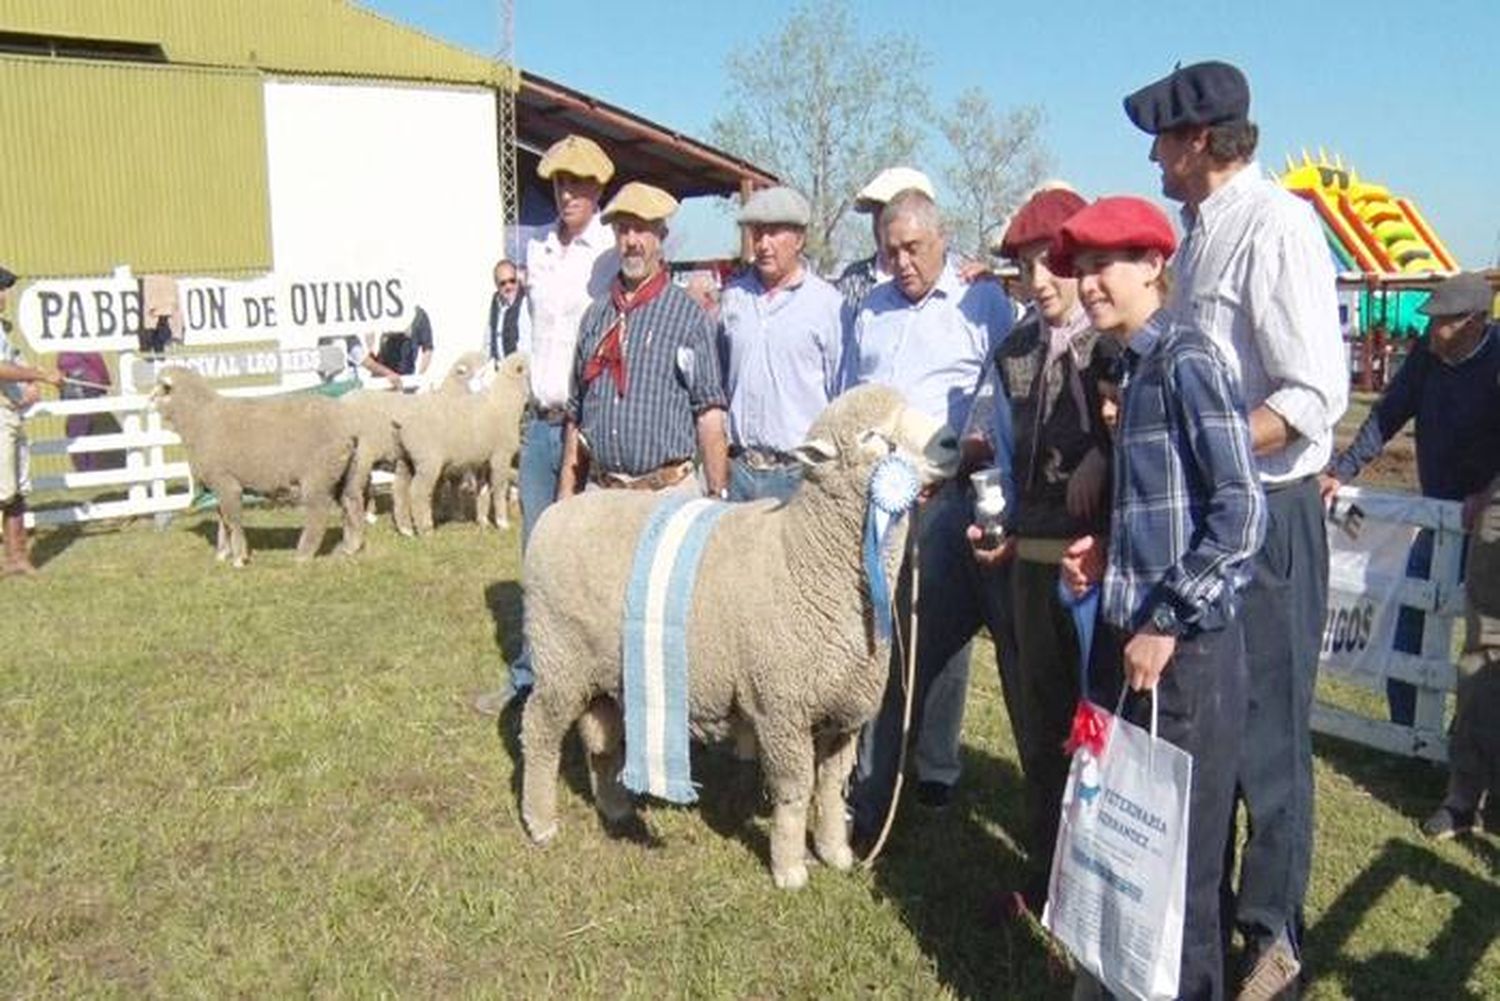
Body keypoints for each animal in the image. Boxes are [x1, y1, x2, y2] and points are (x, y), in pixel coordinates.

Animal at [152, 367, 360, 567]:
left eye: (162, 388)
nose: (149, 400)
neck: (200, 418)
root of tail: (346, 427)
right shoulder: (218, 488)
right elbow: (222, 521)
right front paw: (222, 553)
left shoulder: (227, 483)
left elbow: (233, 521)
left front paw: (239, 558)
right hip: (344, 474)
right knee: (351, 504)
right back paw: (351, 547)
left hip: (318, 476)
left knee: (318, 513)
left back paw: (303, 555)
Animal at [390, 354, 531, 540]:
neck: (504, 401)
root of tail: (402, 422)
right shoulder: (501, 455)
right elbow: (499, 488)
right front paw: (502, 523)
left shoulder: (483, 460)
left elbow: (483, 489)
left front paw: (482, 520)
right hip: (427, 460)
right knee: (418, 491)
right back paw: (425, 529)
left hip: (405, 458)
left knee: (399, 489)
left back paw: (405, 529)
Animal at [522, 387, 954, 888]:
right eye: (871, 437)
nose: (953, 440)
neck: (804, 557)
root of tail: (554, 514)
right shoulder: (782, 707)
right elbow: (795, 790)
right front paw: (789, 868)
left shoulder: (844, 711)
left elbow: (830, 786)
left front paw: (836, 853)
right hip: (558, 658)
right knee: (539, 730)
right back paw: (540, 822)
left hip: (602, 670)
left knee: (600, 740)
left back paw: (614, 808)